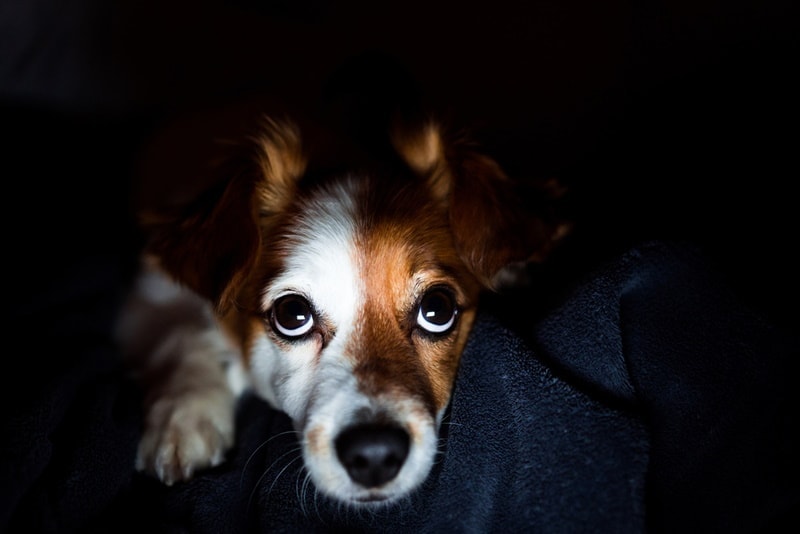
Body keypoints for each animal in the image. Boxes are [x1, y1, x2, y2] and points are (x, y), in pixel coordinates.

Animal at [117, 115, 568, 508]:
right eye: (292, 314)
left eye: (437, 309)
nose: (374, 455)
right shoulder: (150, 292)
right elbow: (183, 334)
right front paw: (184, 416)